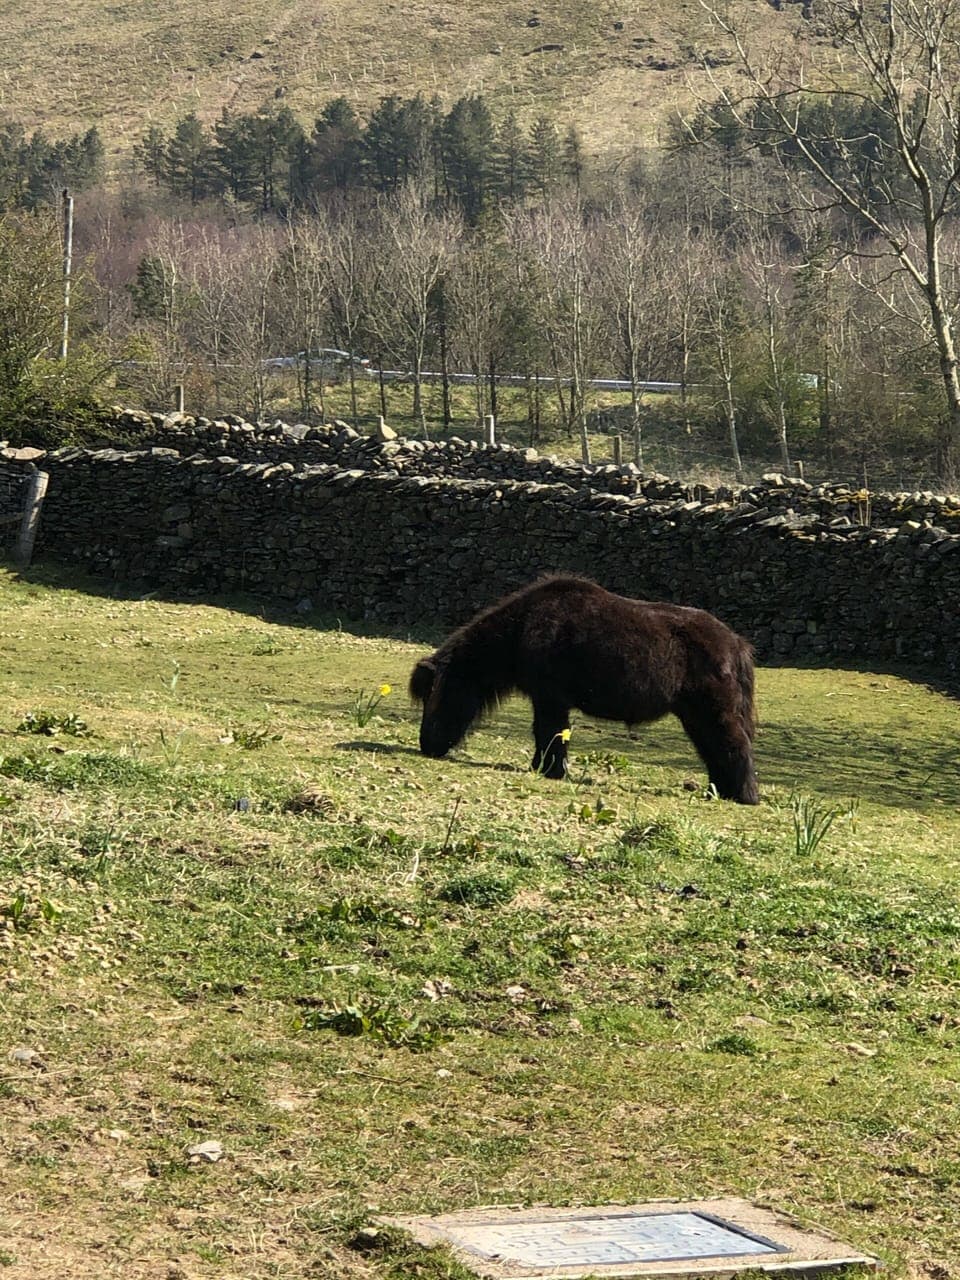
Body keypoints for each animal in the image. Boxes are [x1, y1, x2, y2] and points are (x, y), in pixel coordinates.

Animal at [409, 575, 759, 804]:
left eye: (436, 694)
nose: (427, 745)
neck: (522, 626)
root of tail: (735, 644)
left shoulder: (550, 699)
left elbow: (549, 733)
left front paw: (549, 770)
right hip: (695, 716)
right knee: (714, 749)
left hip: (713, 712)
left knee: (733, 746)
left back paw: (744, 796)